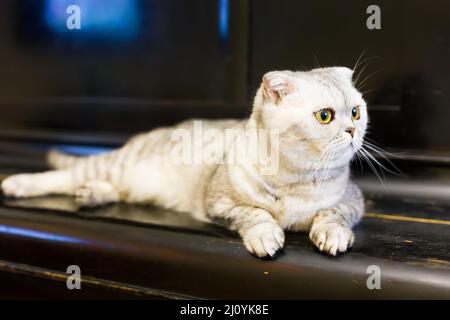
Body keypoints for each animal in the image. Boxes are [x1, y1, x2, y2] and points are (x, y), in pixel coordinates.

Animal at [1, 67, 366, 258]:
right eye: (324, 116)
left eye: (356, 112)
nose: (352, 130)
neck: (297, 179)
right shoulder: (220, 202)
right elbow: (255, 214)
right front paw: (265, 235)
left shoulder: (353, 199)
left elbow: (332, 214)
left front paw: (331, 233)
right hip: (112, 165)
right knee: (64, 175)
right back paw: (18, 184)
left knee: (113, 188)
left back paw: (93, 194)